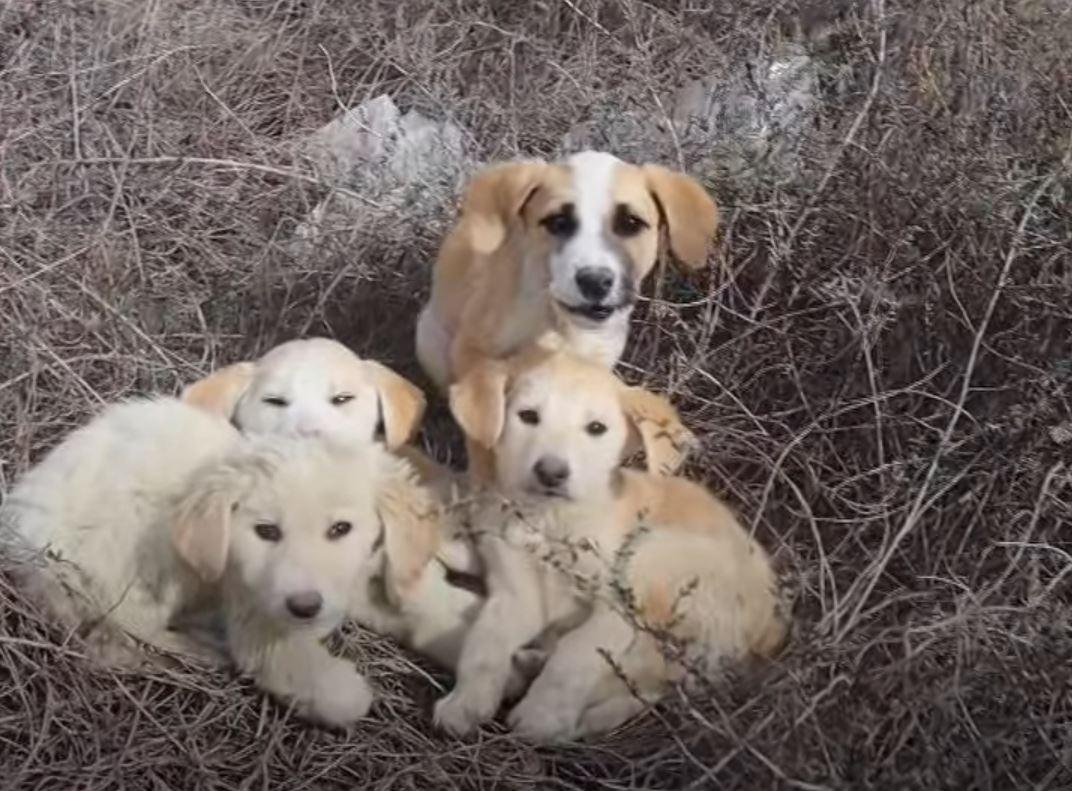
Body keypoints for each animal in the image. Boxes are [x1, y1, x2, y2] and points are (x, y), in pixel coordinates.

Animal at [0, 396, 443, 724]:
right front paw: (345, 689)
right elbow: (319, 682)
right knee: (120, 635)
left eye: (340, 529)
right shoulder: (254, 609)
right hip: (144, 550)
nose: (304, 607)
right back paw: (200, 647)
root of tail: (21, 542)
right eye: (266, 531)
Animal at [428, 347, 788, 737]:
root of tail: (771, 630)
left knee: (646, 676)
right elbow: (485, 641)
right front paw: (466, 702)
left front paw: (542, 715)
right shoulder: (515, 593)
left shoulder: (617, 609)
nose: (551, 472)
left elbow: (576, 654)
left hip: (654, 557)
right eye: (528, 416)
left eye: (596, 428)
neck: (551, 522)